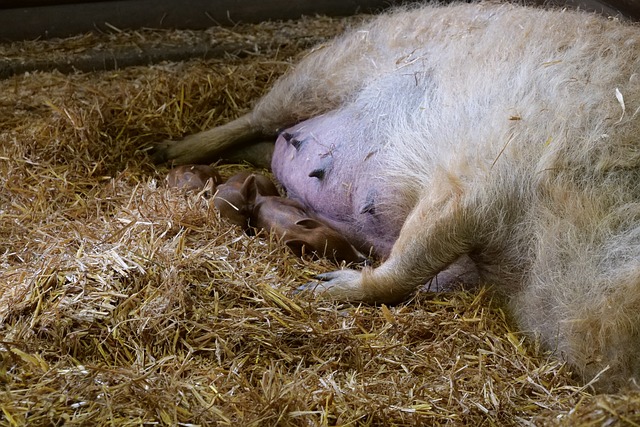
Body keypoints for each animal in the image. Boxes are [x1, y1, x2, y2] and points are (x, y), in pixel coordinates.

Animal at [152, 2, 640, 392]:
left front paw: (320, 284)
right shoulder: (483, 176)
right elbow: (417, 254)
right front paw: (316, 289)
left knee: (264, 143)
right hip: (326, 69)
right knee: (254, 118)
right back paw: (164, 151)